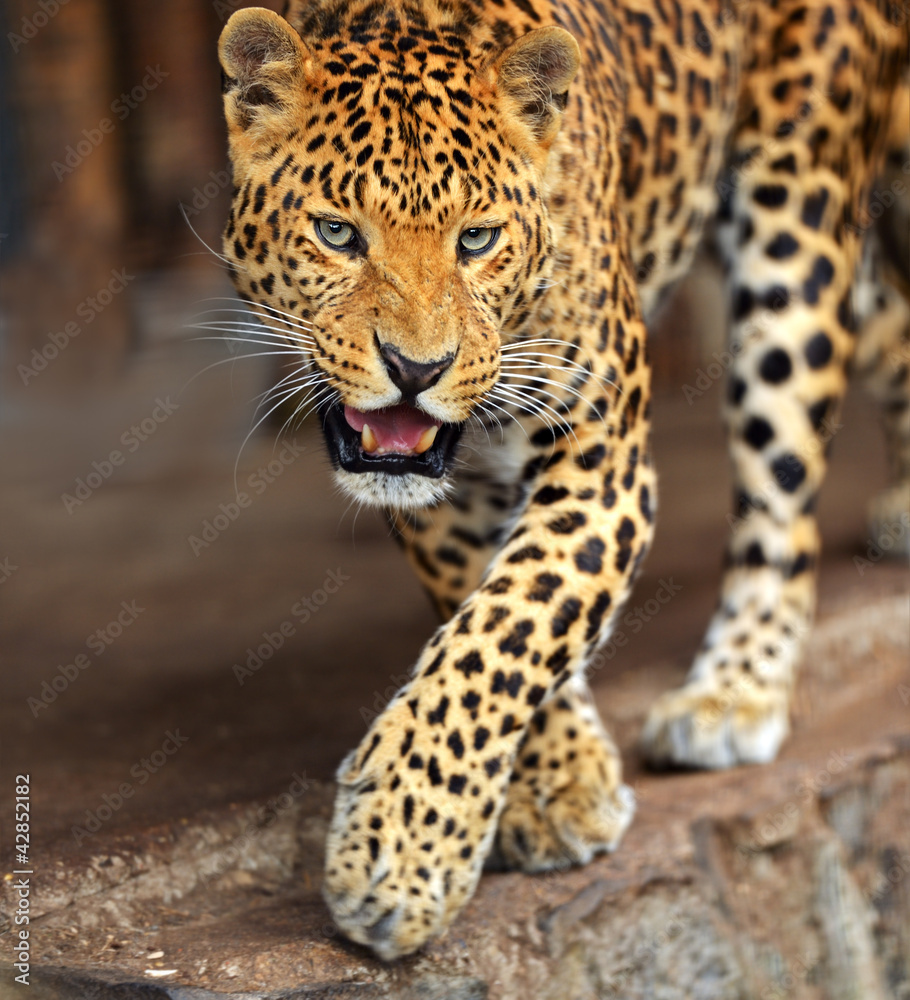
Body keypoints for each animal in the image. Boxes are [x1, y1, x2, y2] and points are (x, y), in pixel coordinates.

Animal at [215, 0, 909, 961]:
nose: (414, 371)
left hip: (795, 223)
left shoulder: (604, 459)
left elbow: (514, 624)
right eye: (337, 233)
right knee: (895, 324)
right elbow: (490, 615)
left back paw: (733, 692)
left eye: (477, 240)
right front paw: (558, 785)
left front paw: (395, 853)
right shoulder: (447, 497)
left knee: (783, 491)